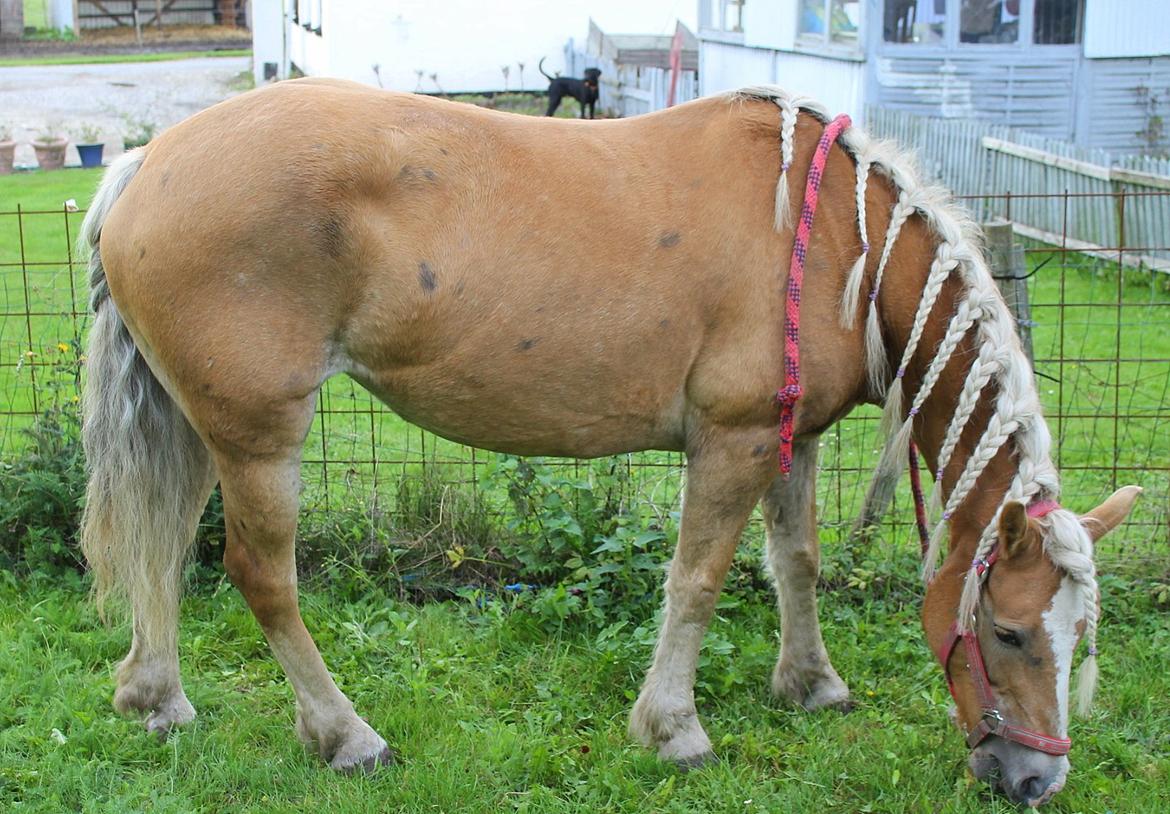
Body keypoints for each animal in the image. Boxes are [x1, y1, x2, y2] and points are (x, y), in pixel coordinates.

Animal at [80, 77, 1132, 809]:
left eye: (1077, 636)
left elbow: (795, 561)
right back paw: (346, 736)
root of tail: (148, 161)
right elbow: (698, 582)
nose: (1036, 781)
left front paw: (811, 683)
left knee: (161, 551)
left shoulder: (790, 441)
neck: (839, 239)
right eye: (1007, 632)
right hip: (261, 438)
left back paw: (156, 698)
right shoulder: (734, 441)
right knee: (259, 575)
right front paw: (674, 730)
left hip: (198, 426)